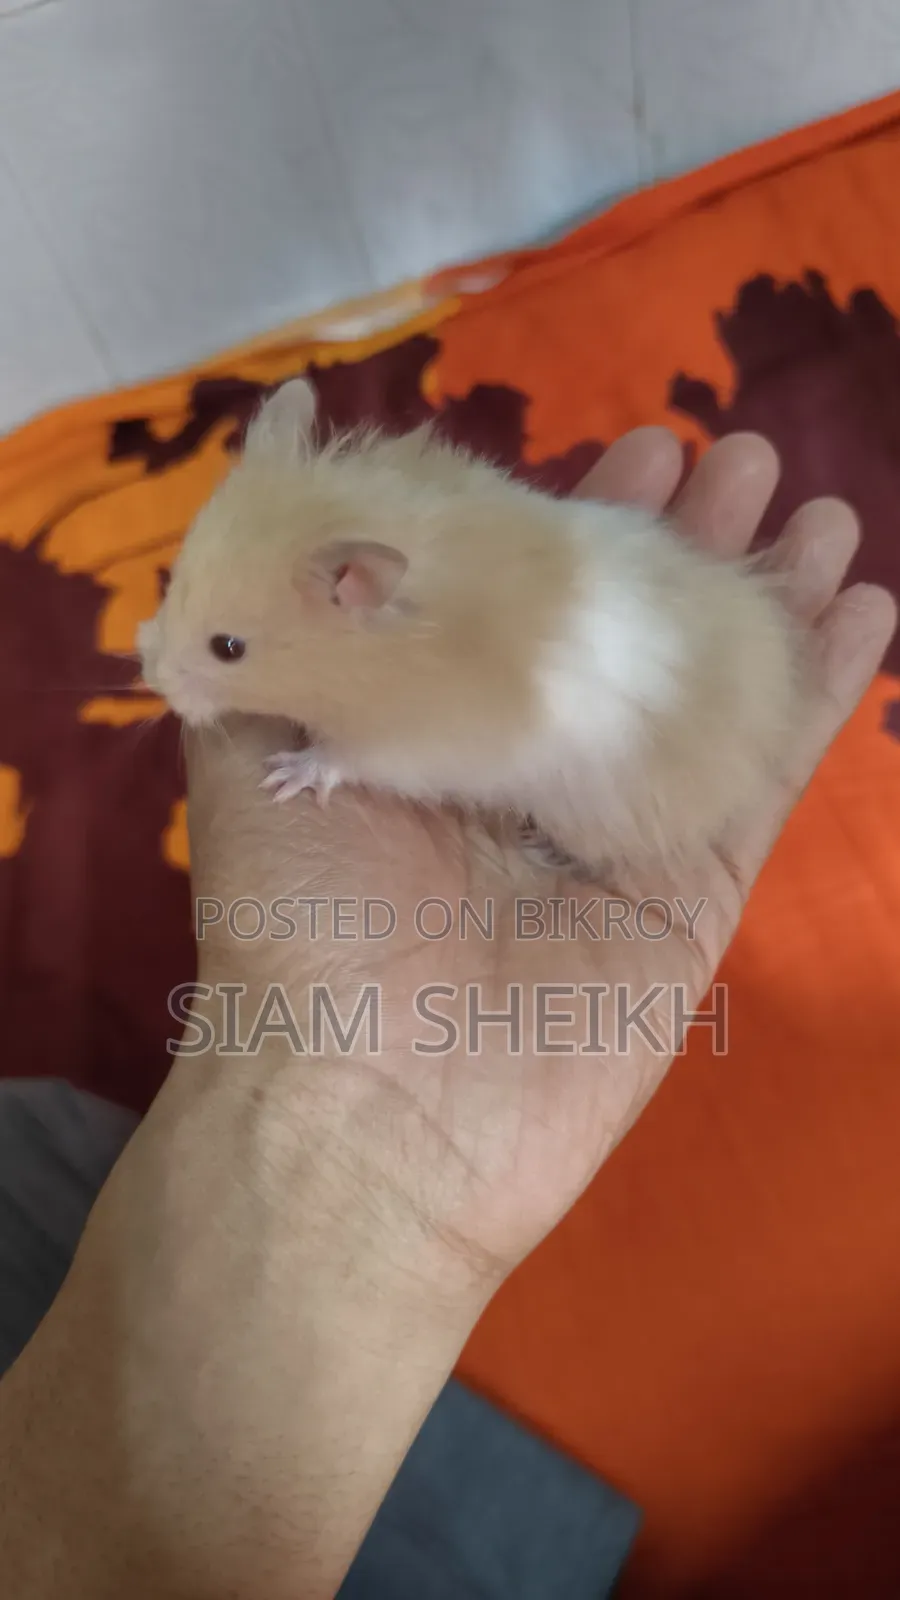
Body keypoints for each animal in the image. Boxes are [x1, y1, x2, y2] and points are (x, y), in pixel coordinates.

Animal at [139, 378, 806, 877]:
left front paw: (287, 774)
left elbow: (345, 758)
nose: (150, 677)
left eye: (228, 648)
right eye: (172, 584)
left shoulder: (411, 745)